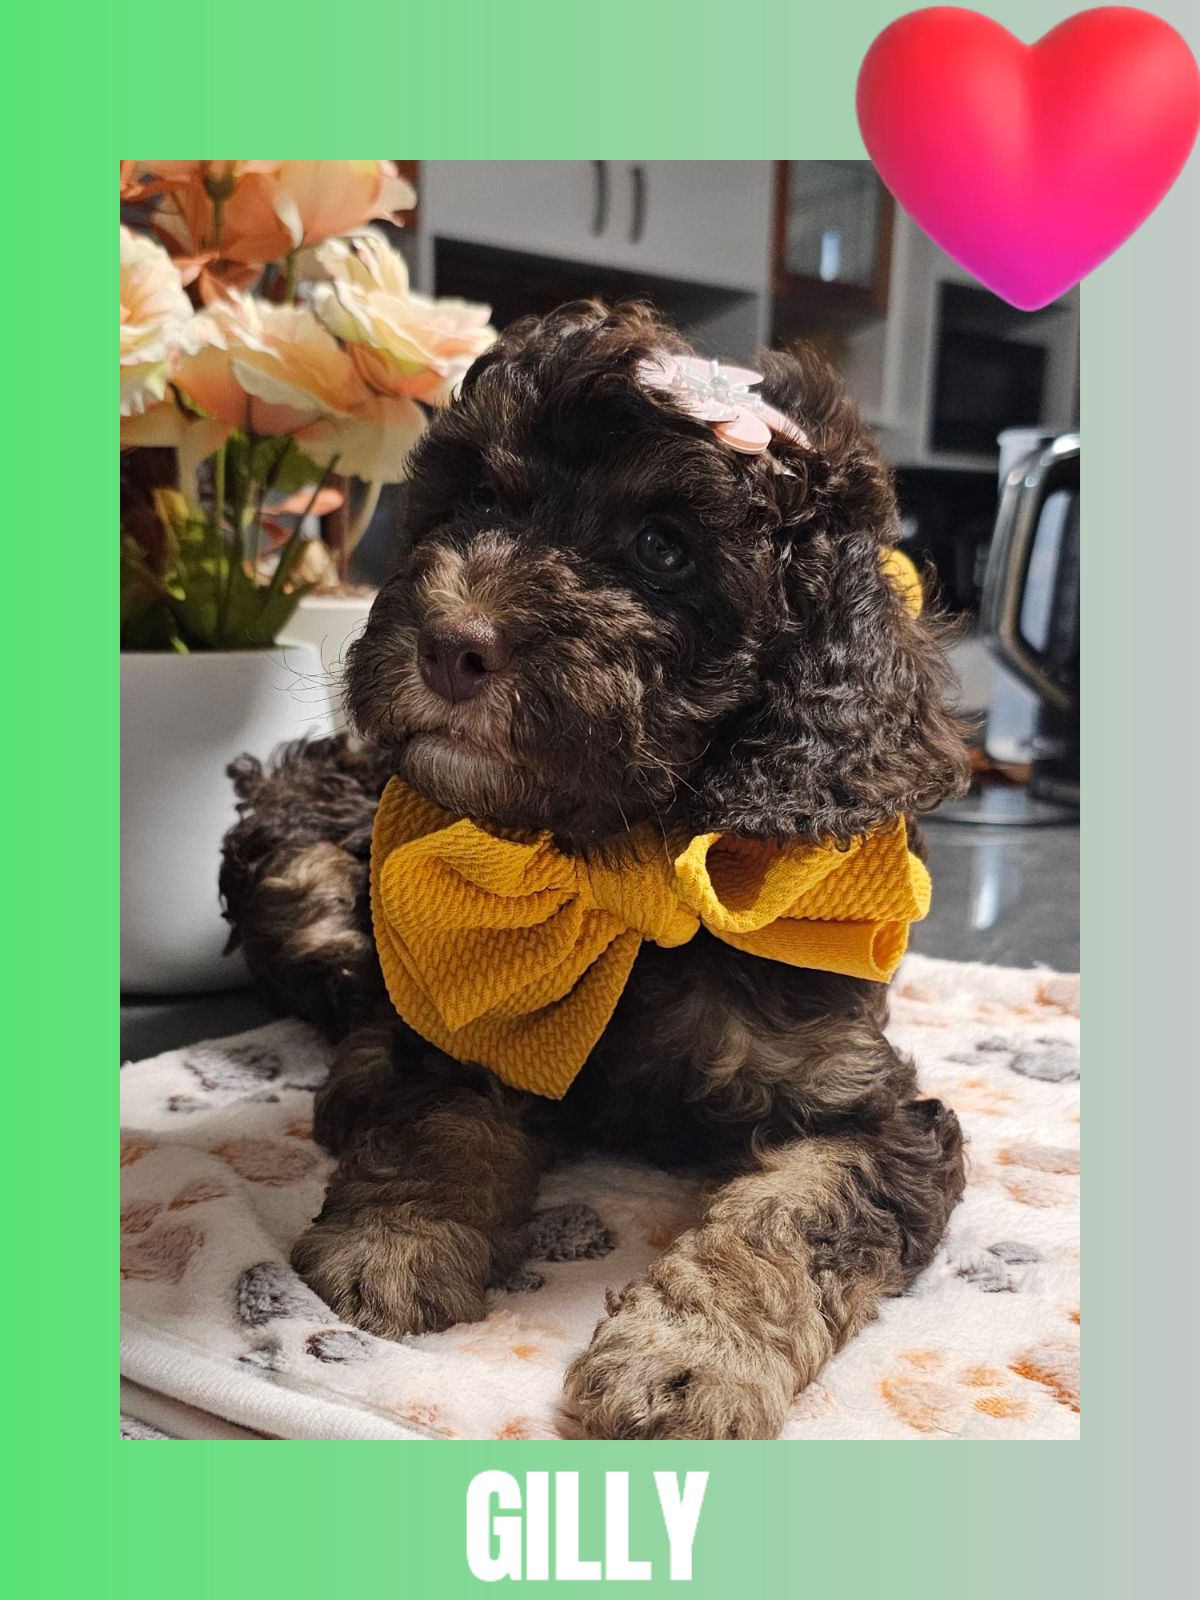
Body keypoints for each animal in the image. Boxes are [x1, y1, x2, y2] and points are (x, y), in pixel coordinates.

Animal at [221, 300, 970, 1440]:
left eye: (663, 545)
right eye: (480, 497)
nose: (451, 645)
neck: (626, 861)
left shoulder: (868, 1110)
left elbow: (795, 1214)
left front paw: (689, 1363)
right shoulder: (459, 997)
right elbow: (435, 1112)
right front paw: (394, 1248)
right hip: (301, 838)